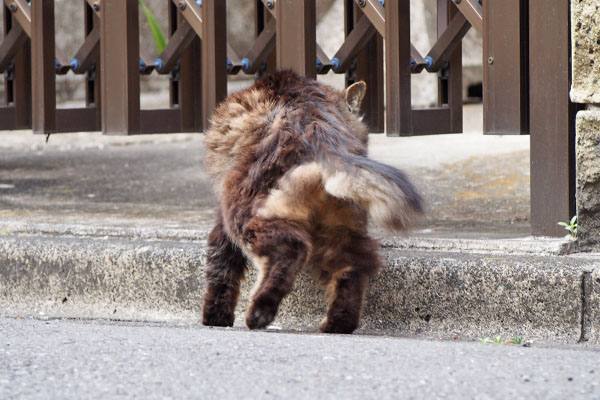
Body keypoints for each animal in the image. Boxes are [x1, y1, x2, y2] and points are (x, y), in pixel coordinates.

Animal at [202, 70, 422, 332]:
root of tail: (320, 134)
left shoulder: (222, 219)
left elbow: (220, 268)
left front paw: (215, 317)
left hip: (244, 211)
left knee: (291, 249)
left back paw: (260, 312)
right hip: (342, 225)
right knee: (354, 267)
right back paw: (338, 323)